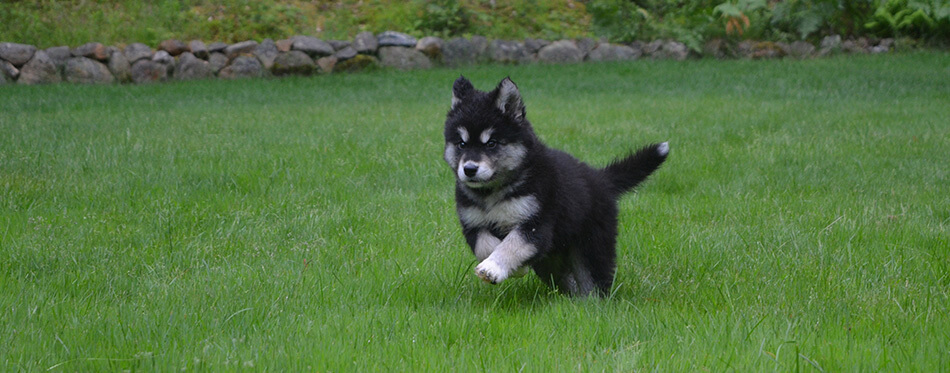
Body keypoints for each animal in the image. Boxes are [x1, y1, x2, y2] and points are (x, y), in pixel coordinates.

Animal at [446, 77, 668, 296]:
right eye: (462, 144)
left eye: (491, 143)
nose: (469, 169)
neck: (494, 192)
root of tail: (600, 178)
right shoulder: (473, 224)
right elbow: (486, 246)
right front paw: (512, 267)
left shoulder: (537, 223)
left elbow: (513, 243)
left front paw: (493, 267)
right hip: (552, 262)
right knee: (566, 279)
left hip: (592, 245)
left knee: (593, 280)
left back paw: (592, 302)